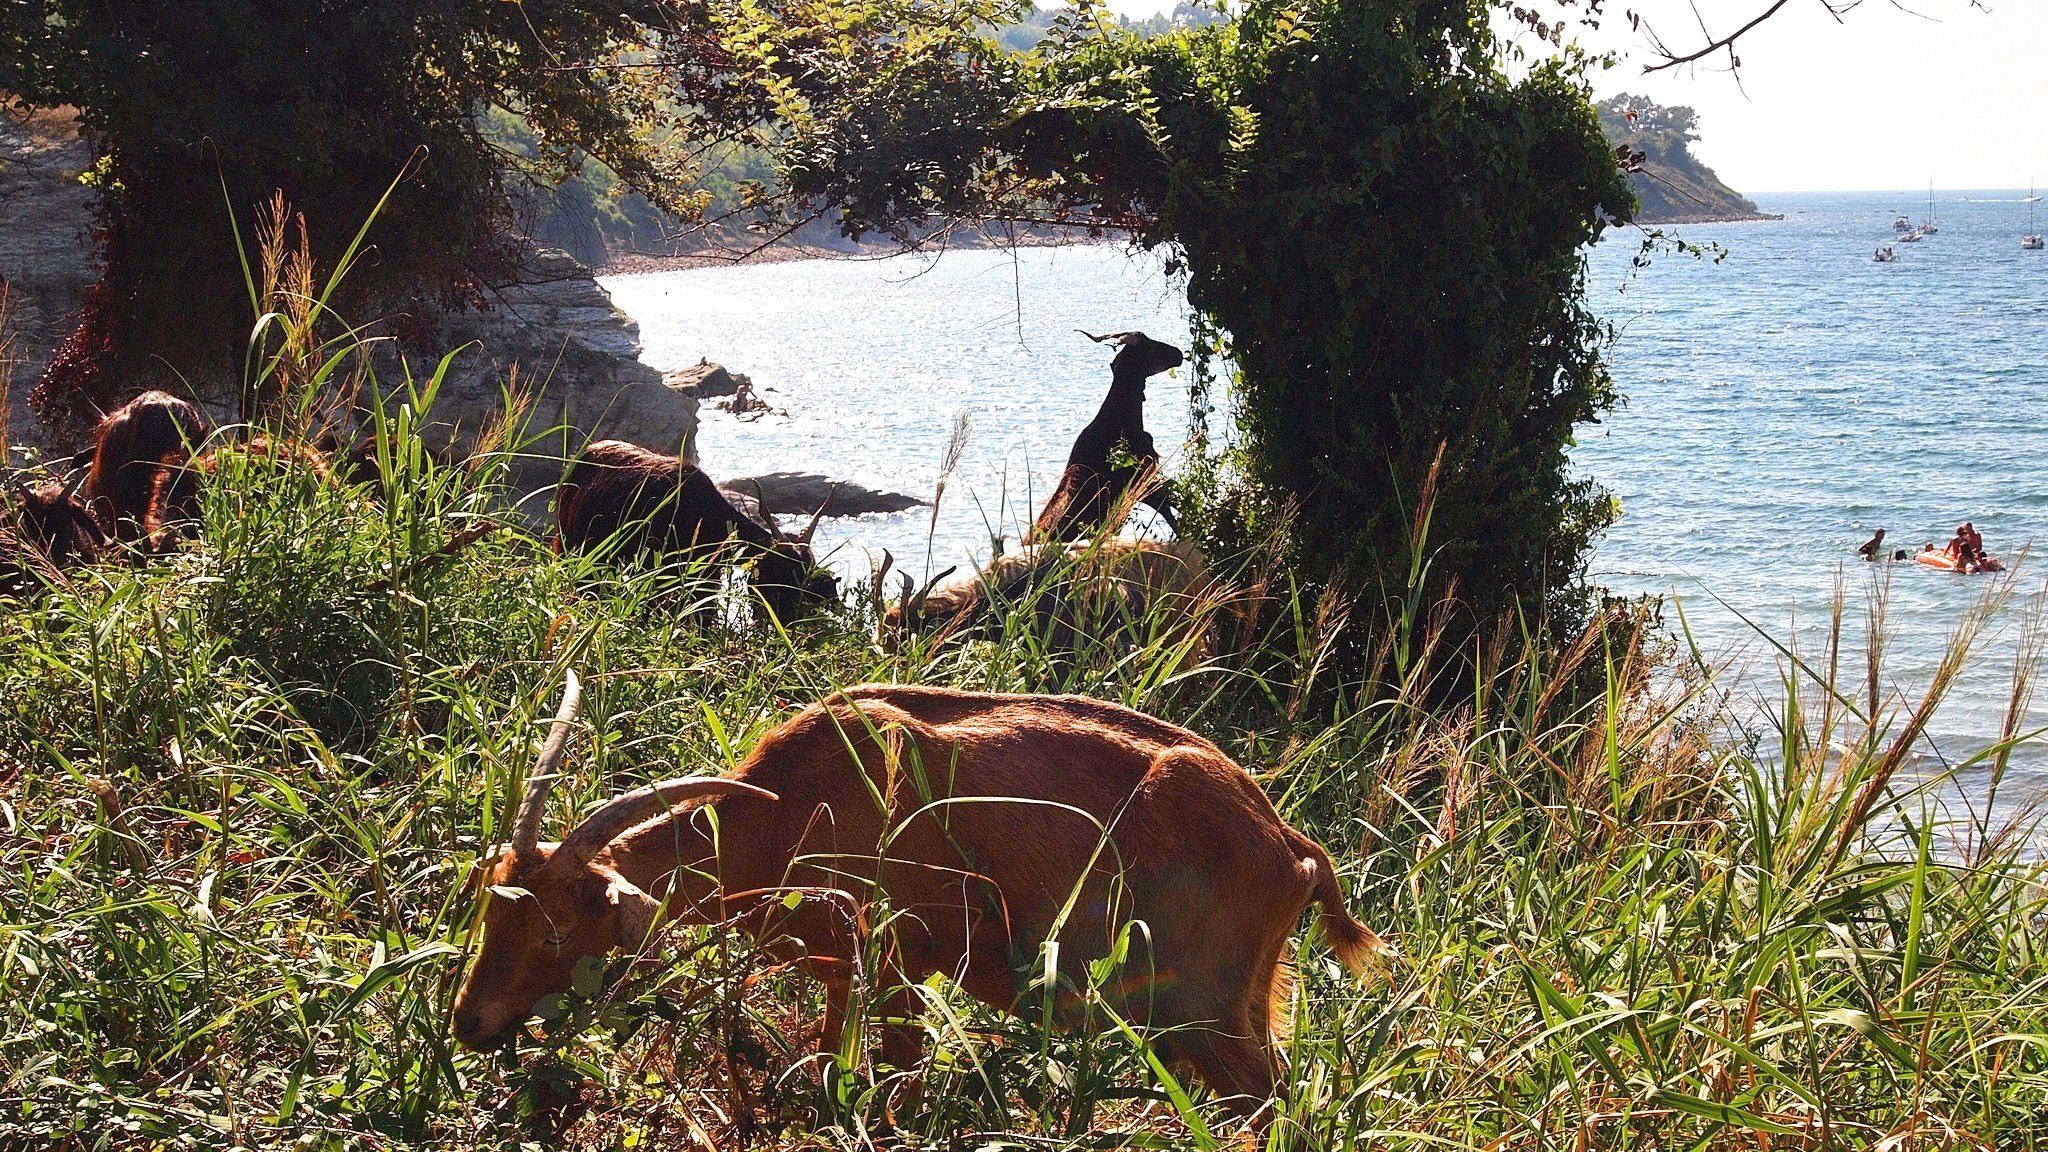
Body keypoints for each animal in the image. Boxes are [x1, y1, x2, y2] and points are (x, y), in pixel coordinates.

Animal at [448, 672, 1376, 1115]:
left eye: (557, 927)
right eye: (491, 907)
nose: (469, 1023)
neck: (782, 812)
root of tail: (1291, 847)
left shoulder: (899, 958)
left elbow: (899, 1086)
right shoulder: (841, 970)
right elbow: (829, 1067)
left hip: (1204, 1012)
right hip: (1238, 1005)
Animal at [557, 436, 835, 619]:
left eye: (805, 582)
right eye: (781, 574)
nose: (785, 621)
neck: (705, 514)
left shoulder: (706, 578)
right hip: (569, 544)